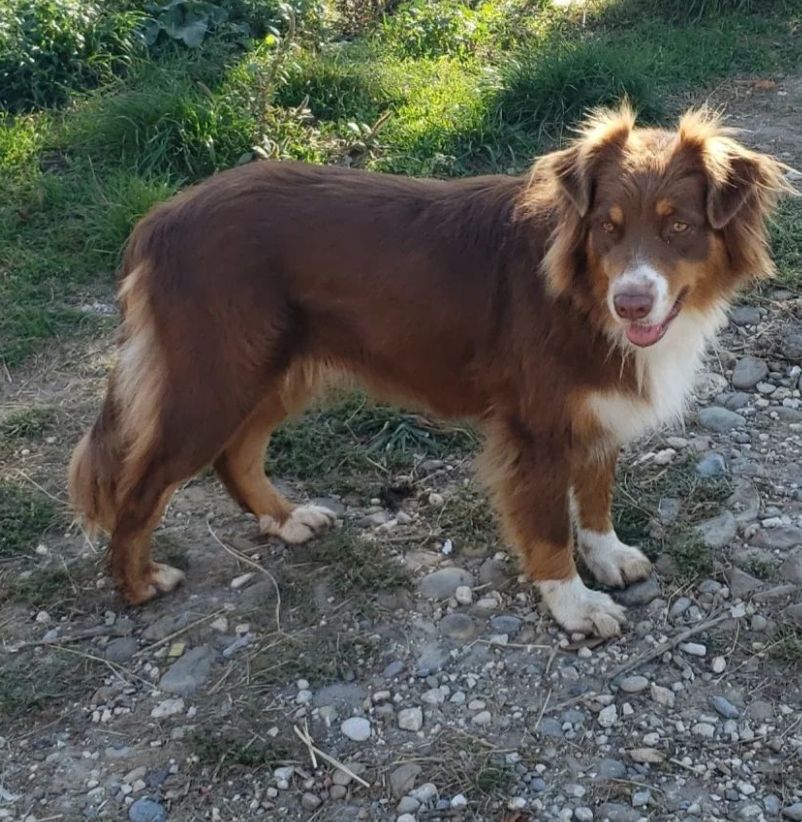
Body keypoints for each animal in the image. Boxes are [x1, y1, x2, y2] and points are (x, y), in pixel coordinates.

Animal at [70, 108, 792, 636]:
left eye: (679, 228)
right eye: (608, 228)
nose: (632, 303)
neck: (583, 295)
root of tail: (161, 218)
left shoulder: (595, 404)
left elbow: (594, 494)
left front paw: (608, 555)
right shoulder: (536, 425)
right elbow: (548, 525)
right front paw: (574, 604)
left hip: (277, 372)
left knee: (236, 455)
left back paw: (285, 519)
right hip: (214, 378)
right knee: (141, 486)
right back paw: (138, 584)